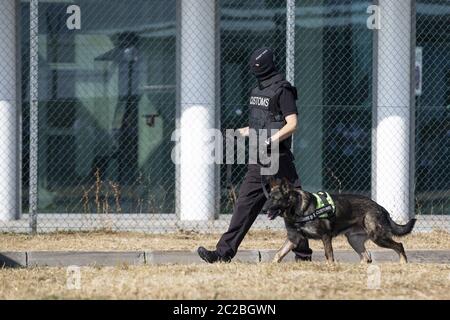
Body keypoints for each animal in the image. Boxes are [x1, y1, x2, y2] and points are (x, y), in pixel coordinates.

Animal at [262, 179, 416, 264]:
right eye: (268, 198)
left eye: (275, 199)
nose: (263, 209)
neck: (297, 208)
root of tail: (380, 207)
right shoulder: (293, 238)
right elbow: (278, 254)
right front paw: (271, 265)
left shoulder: (325, 236)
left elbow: (329, 255)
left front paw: (330, 267)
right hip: (354, 240)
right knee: (366, 257)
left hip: (377, 237)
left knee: (399, 245)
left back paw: (403, 263)